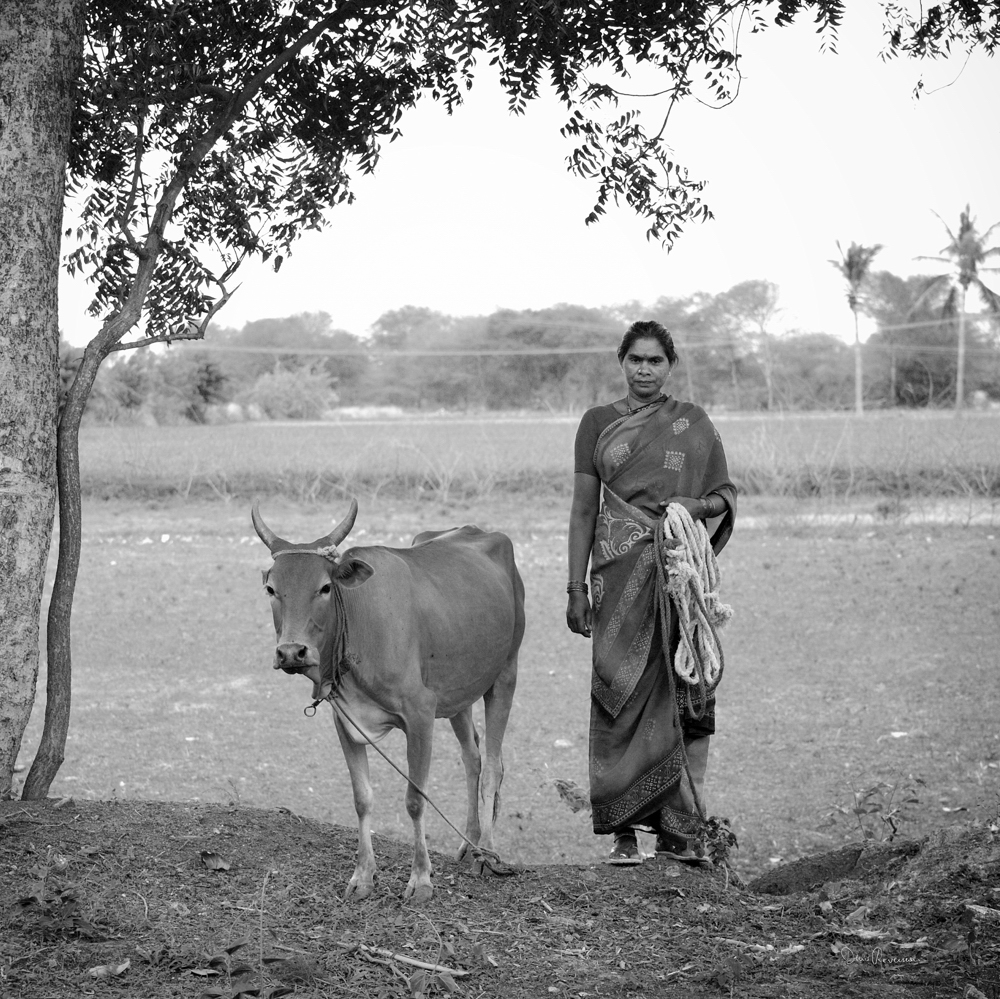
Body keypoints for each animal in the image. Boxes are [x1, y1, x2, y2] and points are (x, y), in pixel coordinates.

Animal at [252, 504, 524, 904]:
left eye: (325, 587)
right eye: (272, 589)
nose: (291, 652)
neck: (359, 627)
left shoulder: (421, 714)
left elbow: (415, 799)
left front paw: (421, 879)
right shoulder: (345, 720)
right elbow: (362, 799)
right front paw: (363, 876)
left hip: (505, 674)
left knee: (492, 765)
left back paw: (487, 852)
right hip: (459, 692)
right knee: (472, 757)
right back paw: (469, 842)